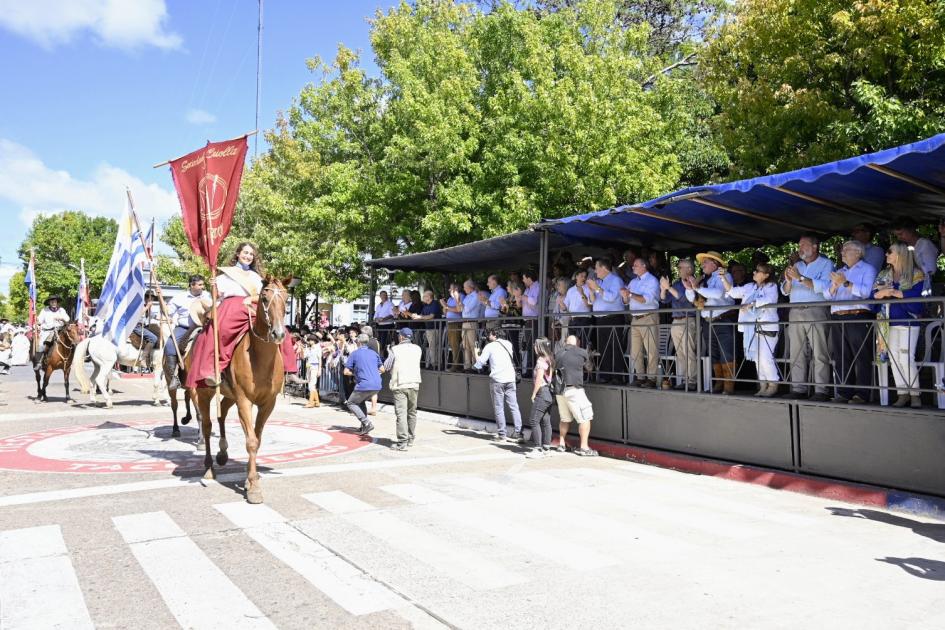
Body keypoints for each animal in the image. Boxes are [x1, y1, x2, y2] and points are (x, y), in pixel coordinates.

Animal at [186, 278, 286, 506]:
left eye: (286, 298)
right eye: (264, 298)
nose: (278, 333)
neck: (260, 358)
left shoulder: (268, 404)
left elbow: (257, 439)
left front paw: (250, 479)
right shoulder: (244, 400)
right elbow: (251, 441)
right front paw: (254, 488)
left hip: (229, 395)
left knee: (222, 412)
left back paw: (223, 453)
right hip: (204, 393)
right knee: (207, 426)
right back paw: (209, 468)